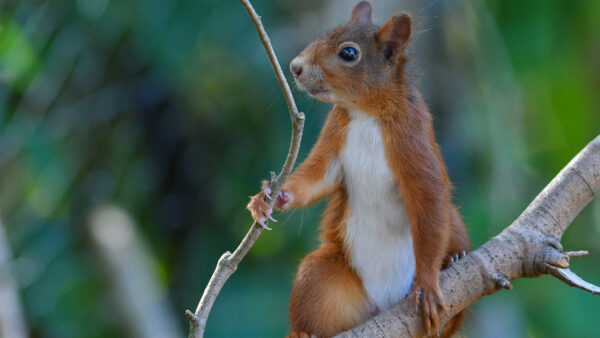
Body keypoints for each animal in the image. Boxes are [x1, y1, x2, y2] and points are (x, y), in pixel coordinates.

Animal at [247, 1, 468, 336]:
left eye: (348, 53)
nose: (295, 67)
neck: (365, 113)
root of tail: (384, 304)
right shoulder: (334, 138)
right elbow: (316, 177)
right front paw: (270, 197)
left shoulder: (415, 140)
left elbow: (429, 200)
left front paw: (429, 285)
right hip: (322, 275)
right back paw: (303, 331)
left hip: (454, 229)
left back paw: (454, 258)